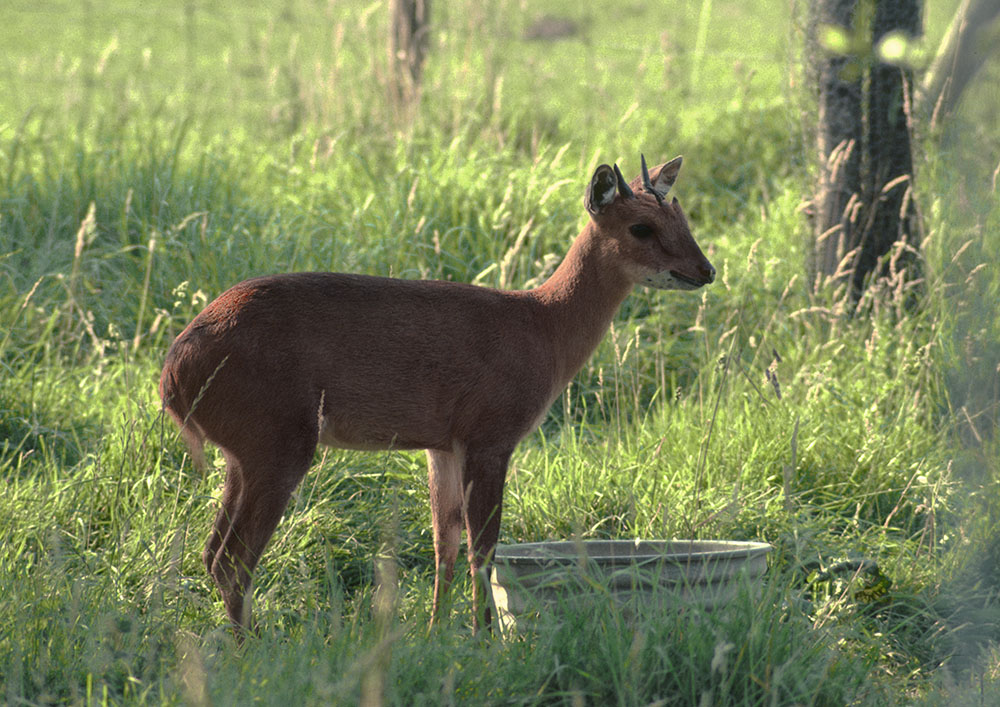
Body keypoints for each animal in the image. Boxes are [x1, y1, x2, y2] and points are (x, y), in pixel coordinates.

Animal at [159, 155, 715, 636]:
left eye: (681, 213)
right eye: (640, 227)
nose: (707, 270)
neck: (544, 328)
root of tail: (173, 373)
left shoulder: (442, 445)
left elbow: (443, 544)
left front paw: (436, 636)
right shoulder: (490, 435)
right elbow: (483, 550)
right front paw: (487, 641)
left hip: (242, 454)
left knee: (213, 552)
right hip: (279, 443)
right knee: (233, 557)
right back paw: (254, 648)